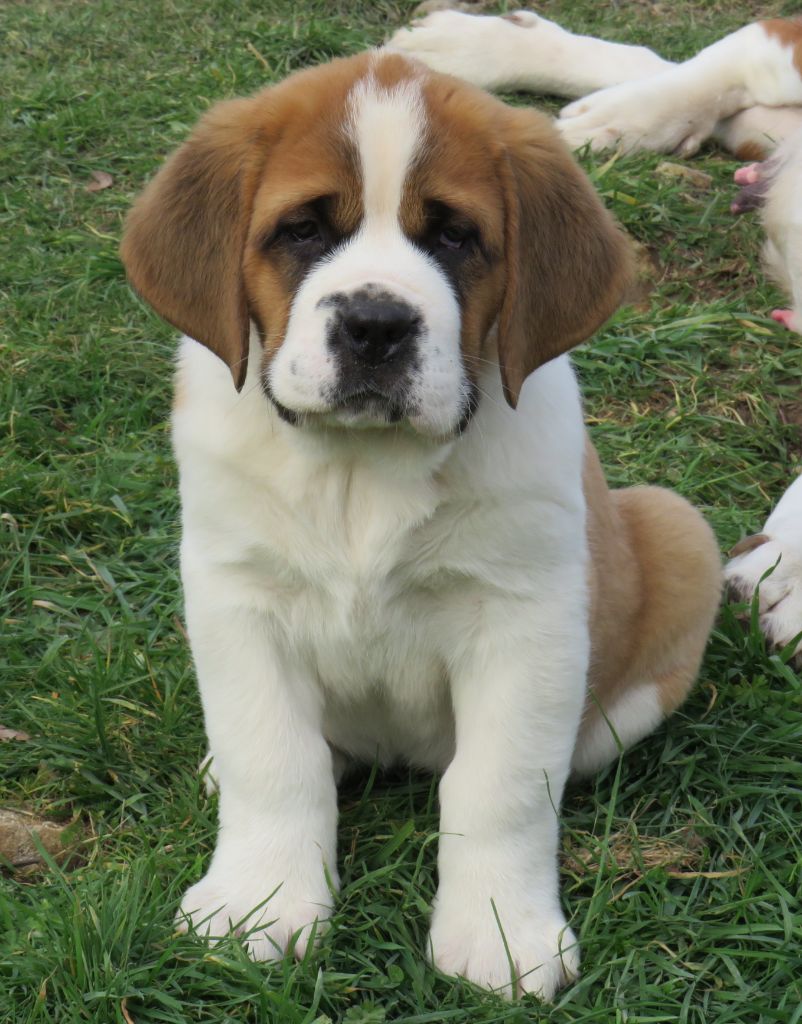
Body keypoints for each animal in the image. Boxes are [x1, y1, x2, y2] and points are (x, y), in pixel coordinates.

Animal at [120, 51, 721, 1000]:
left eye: (454, 237)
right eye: (301, 230)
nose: (375, 324)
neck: (362, 471)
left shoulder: (526, 618)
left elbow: (498, 786)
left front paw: (501, 933)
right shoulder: (235, 598)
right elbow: (271, 758)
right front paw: (259, 903)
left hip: (676, 527)